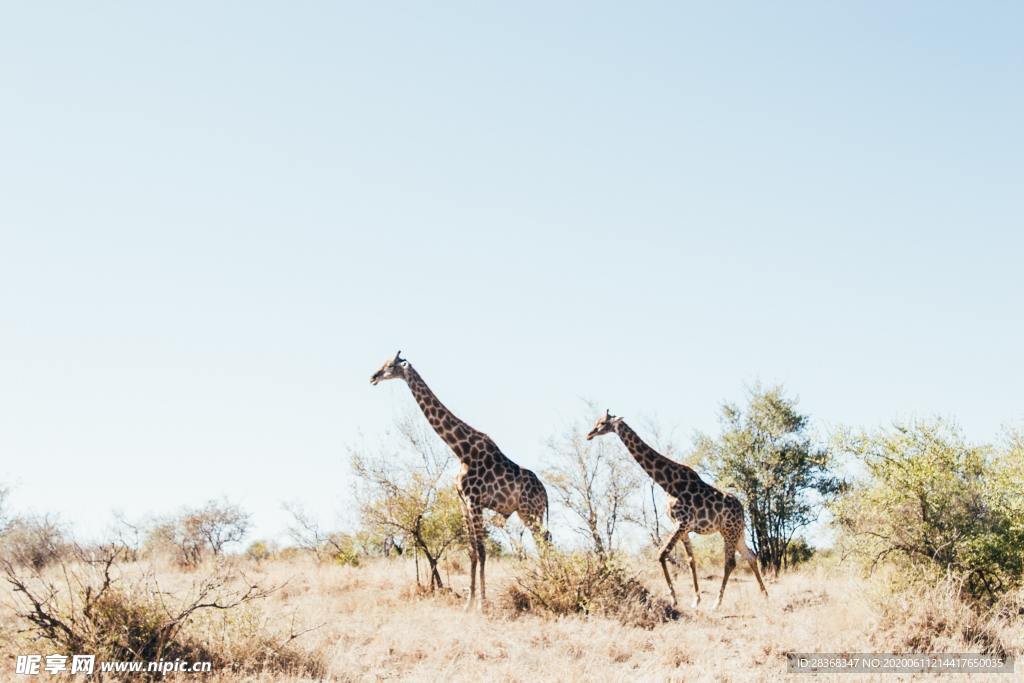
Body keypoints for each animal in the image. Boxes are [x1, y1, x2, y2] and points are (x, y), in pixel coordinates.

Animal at [368, 352, 544, 610]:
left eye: (390, 365)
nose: (373, 376)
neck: (462, 449)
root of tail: (546, 493)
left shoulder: (474, 500)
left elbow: (482, 549)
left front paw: (481, 604)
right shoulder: (462, 500)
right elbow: (472, 550)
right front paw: (468, 603)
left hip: (532, 512)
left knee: (545, 541)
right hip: (526, 513)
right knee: (544, 542)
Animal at [589, 411, 765, 610]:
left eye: (602, 423)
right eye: (597, 422)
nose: (589, 434)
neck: (668, 483)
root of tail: (742, 509)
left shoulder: (682, 522)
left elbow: (661, 554)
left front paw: (674, 599)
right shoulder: (684, 528)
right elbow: (691, 561)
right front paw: (695, 600)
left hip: (729, 531)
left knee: (730, 563)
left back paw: (717, 603)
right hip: (737, 532)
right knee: (751, 556)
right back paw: (764, 595)